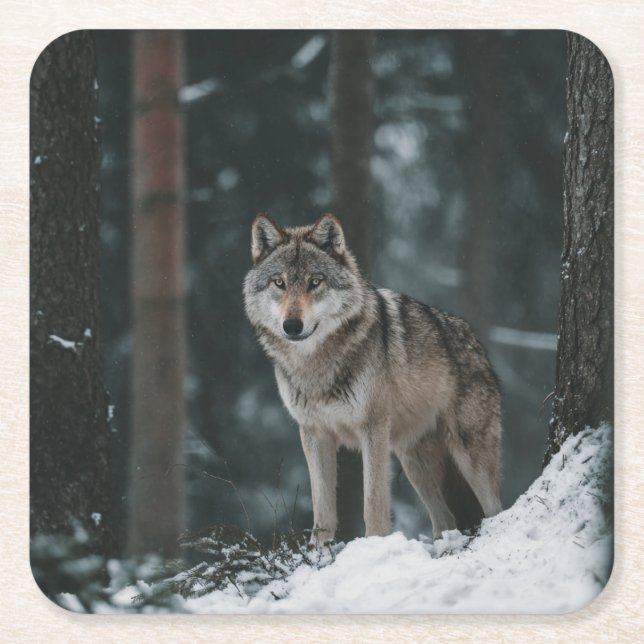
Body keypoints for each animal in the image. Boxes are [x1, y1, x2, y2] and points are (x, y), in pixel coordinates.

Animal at [243, 213, 502, 543]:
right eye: (279, 282)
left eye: (315, 282)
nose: (292, 325)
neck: (317, 366)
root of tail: (477, 343)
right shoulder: (314, 432)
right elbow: (322, 510)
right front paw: (318, 551)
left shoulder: (373, 428)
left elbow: (374, 504)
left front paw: (374, 544)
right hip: (415, 462)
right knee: (445, 519)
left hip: (470, 456)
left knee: (495, 509)